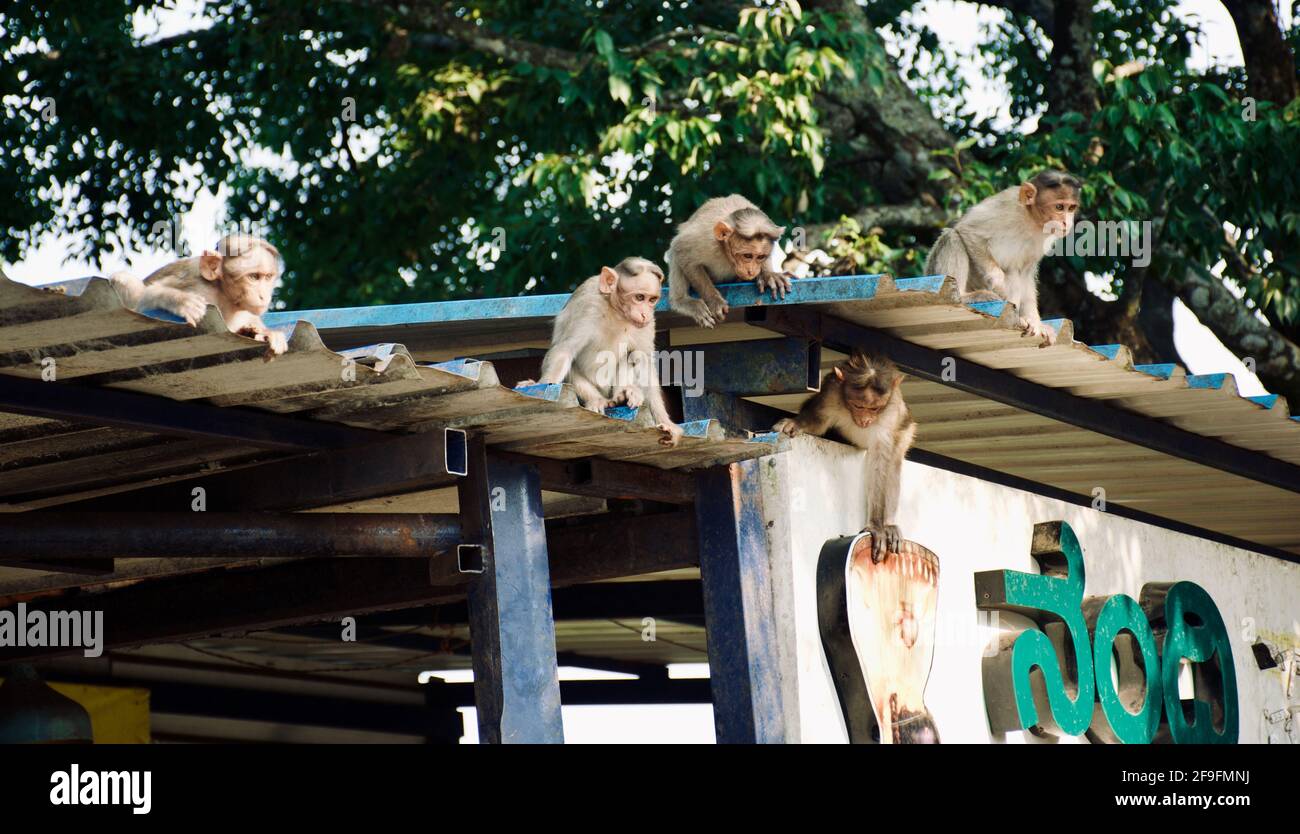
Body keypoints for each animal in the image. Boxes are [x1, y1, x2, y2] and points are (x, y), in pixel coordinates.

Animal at [110, 232, 288, 355]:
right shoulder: (201, 288)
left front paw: (262, 333)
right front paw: (181, 301)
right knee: (123, 279)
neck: (225, 296)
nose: (263, 296)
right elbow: (142, 299)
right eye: (253, 277)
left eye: (268, 277)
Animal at [522, 254, 686, 444]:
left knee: (631, 357)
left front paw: (666, 422)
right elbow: (564, 349)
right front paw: (538, 383)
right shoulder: (588, 306)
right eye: (639, 297)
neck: (616, 311)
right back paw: (597, 400)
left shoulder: (648, 322)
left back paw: (623, 395)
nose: (644, 313)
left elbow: (644, 361)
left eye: (651, 300)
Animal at [670, 193, 790, 326]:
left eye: (760, 257)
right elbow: (681, 249)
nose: (751, 271)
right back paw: (682, 301)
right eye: (747, 256)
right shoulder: (705, 239)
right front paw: (714, 301)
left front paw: (769, 275)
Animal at [769, 348, 915, 556]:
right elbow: (818, 422)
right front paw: (795, 423)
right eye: (858, 406)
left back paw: (889, 525)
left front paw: (876, 526)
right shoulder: (831, 393)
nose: (865, 421)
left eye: (875, 408)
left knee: (893, 460)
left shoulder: (891, 412)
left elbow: (879, 461)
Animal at [930, 170, 1081, 345]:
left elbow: (1025, 273)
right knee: (952, 236)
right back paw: (963, 295)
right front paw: (999, 284)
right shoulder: (1006, 206)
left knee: (1013, 270)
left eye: (1071, 208)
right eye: (1059, 207)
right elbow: (968, 231)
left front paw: (1034, 321)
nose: (1066, 222)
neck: (1030, 218)